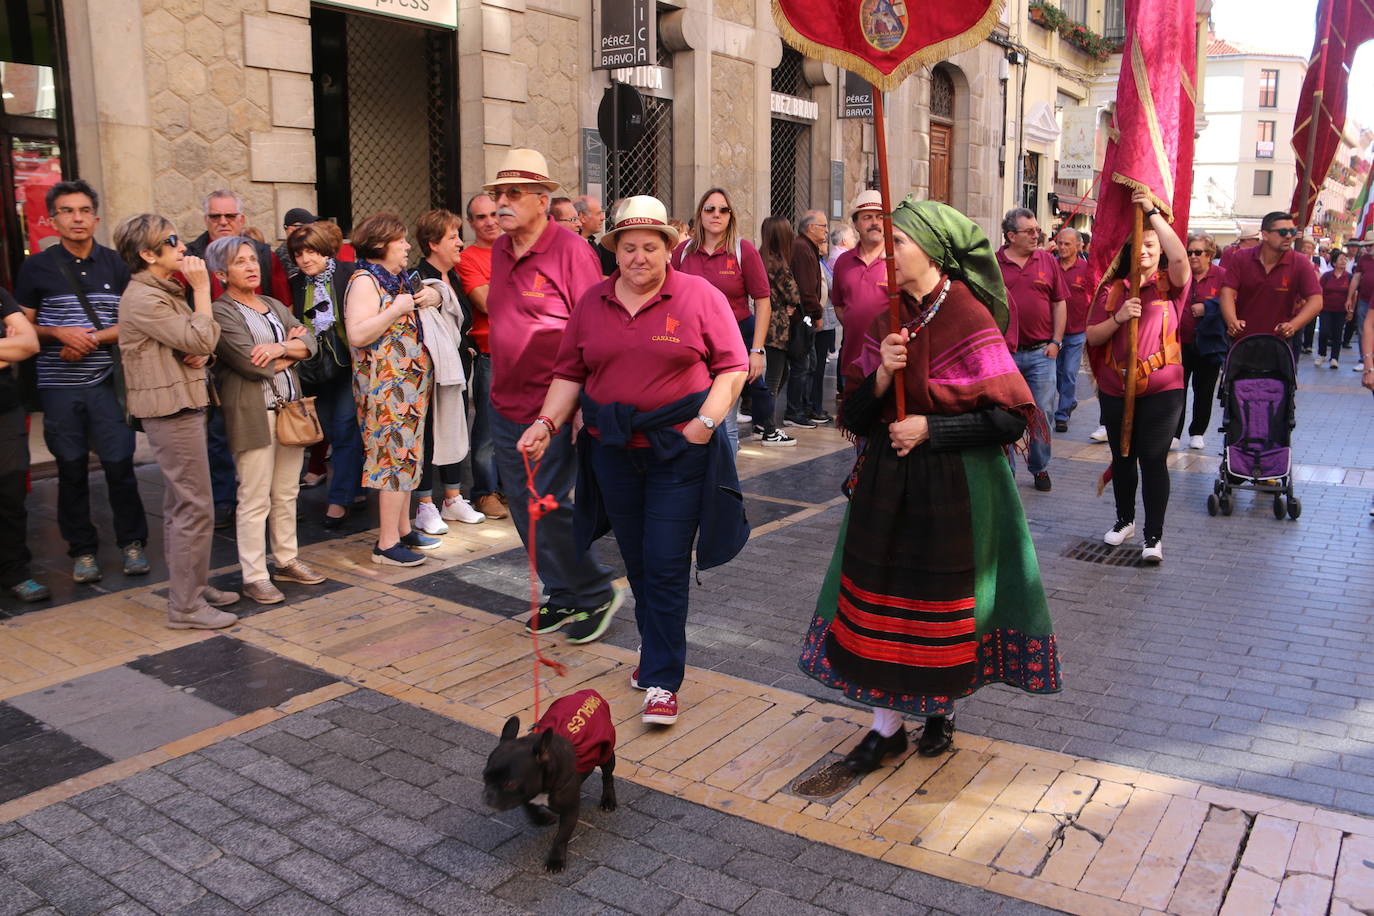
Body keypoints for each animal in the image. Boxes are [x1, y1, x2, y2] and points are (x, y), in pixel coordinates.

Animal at [480, 686, 615, 873]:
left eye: (511, 784)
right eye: (484, 776)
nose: (488, 795)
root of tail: (590, 692)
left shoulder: (570, 811)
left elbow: (561, 837)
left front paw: (555, 860)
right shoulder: (526, 794)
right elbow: (529, 809)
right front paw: (542, 819)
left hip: (605, 753)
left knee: (607, 776)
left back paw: (608, 800)